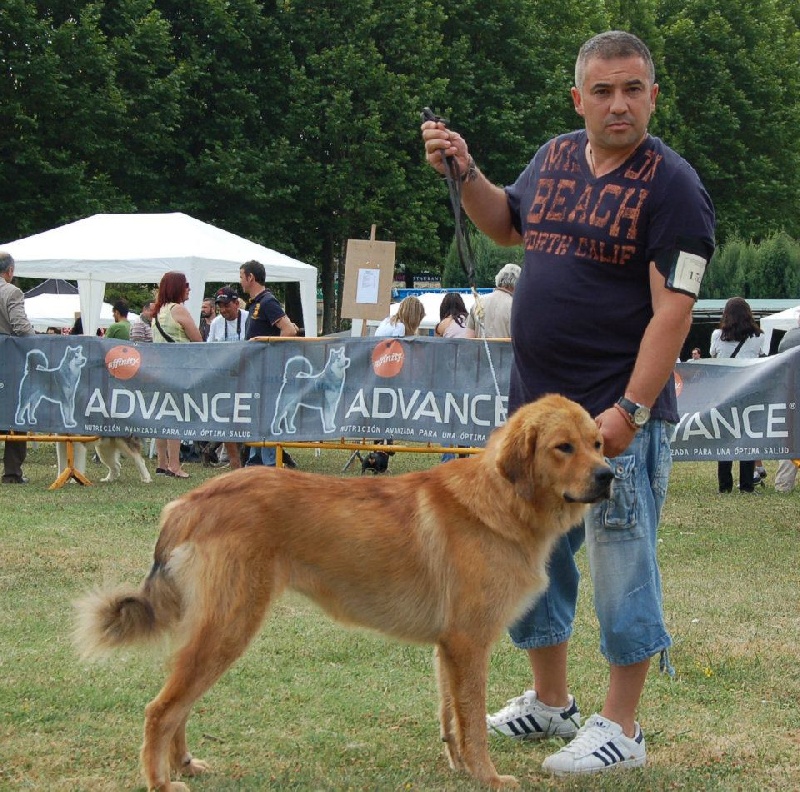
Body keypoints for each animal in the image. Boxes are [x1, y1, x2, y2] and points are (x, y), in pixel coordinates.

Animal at [75, 392, 612, 788]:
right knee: (160, 709)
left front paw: (460, 768)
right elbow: (473, 722)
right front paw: (488, 778)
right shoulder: (469, 643)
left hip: (215, 630)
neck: (500, 500)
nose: (609, 476)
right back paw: (161, 780)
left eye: (598, 443)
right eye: (563, 447)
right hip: (229, 628)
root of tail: (190, 504)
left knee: (179, 704)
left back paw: (184, 763)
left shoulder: (450, 648)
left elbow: (452, 718)